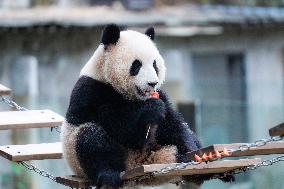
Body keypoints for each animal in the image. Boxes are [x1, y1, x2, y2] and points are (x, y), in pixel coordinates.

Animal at [61, 24, 213, 188]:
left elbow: (173, 124)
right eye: (136, 65)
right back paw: (109, 174)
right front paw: (151, 110)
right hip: (79, 153)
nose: (152, 83)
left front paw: (189, 154)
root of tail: (141, 164)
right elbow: (122, 129)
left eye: (154, 64)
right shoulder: (92, 92)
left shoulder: (160, 94)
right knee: (91, 138)